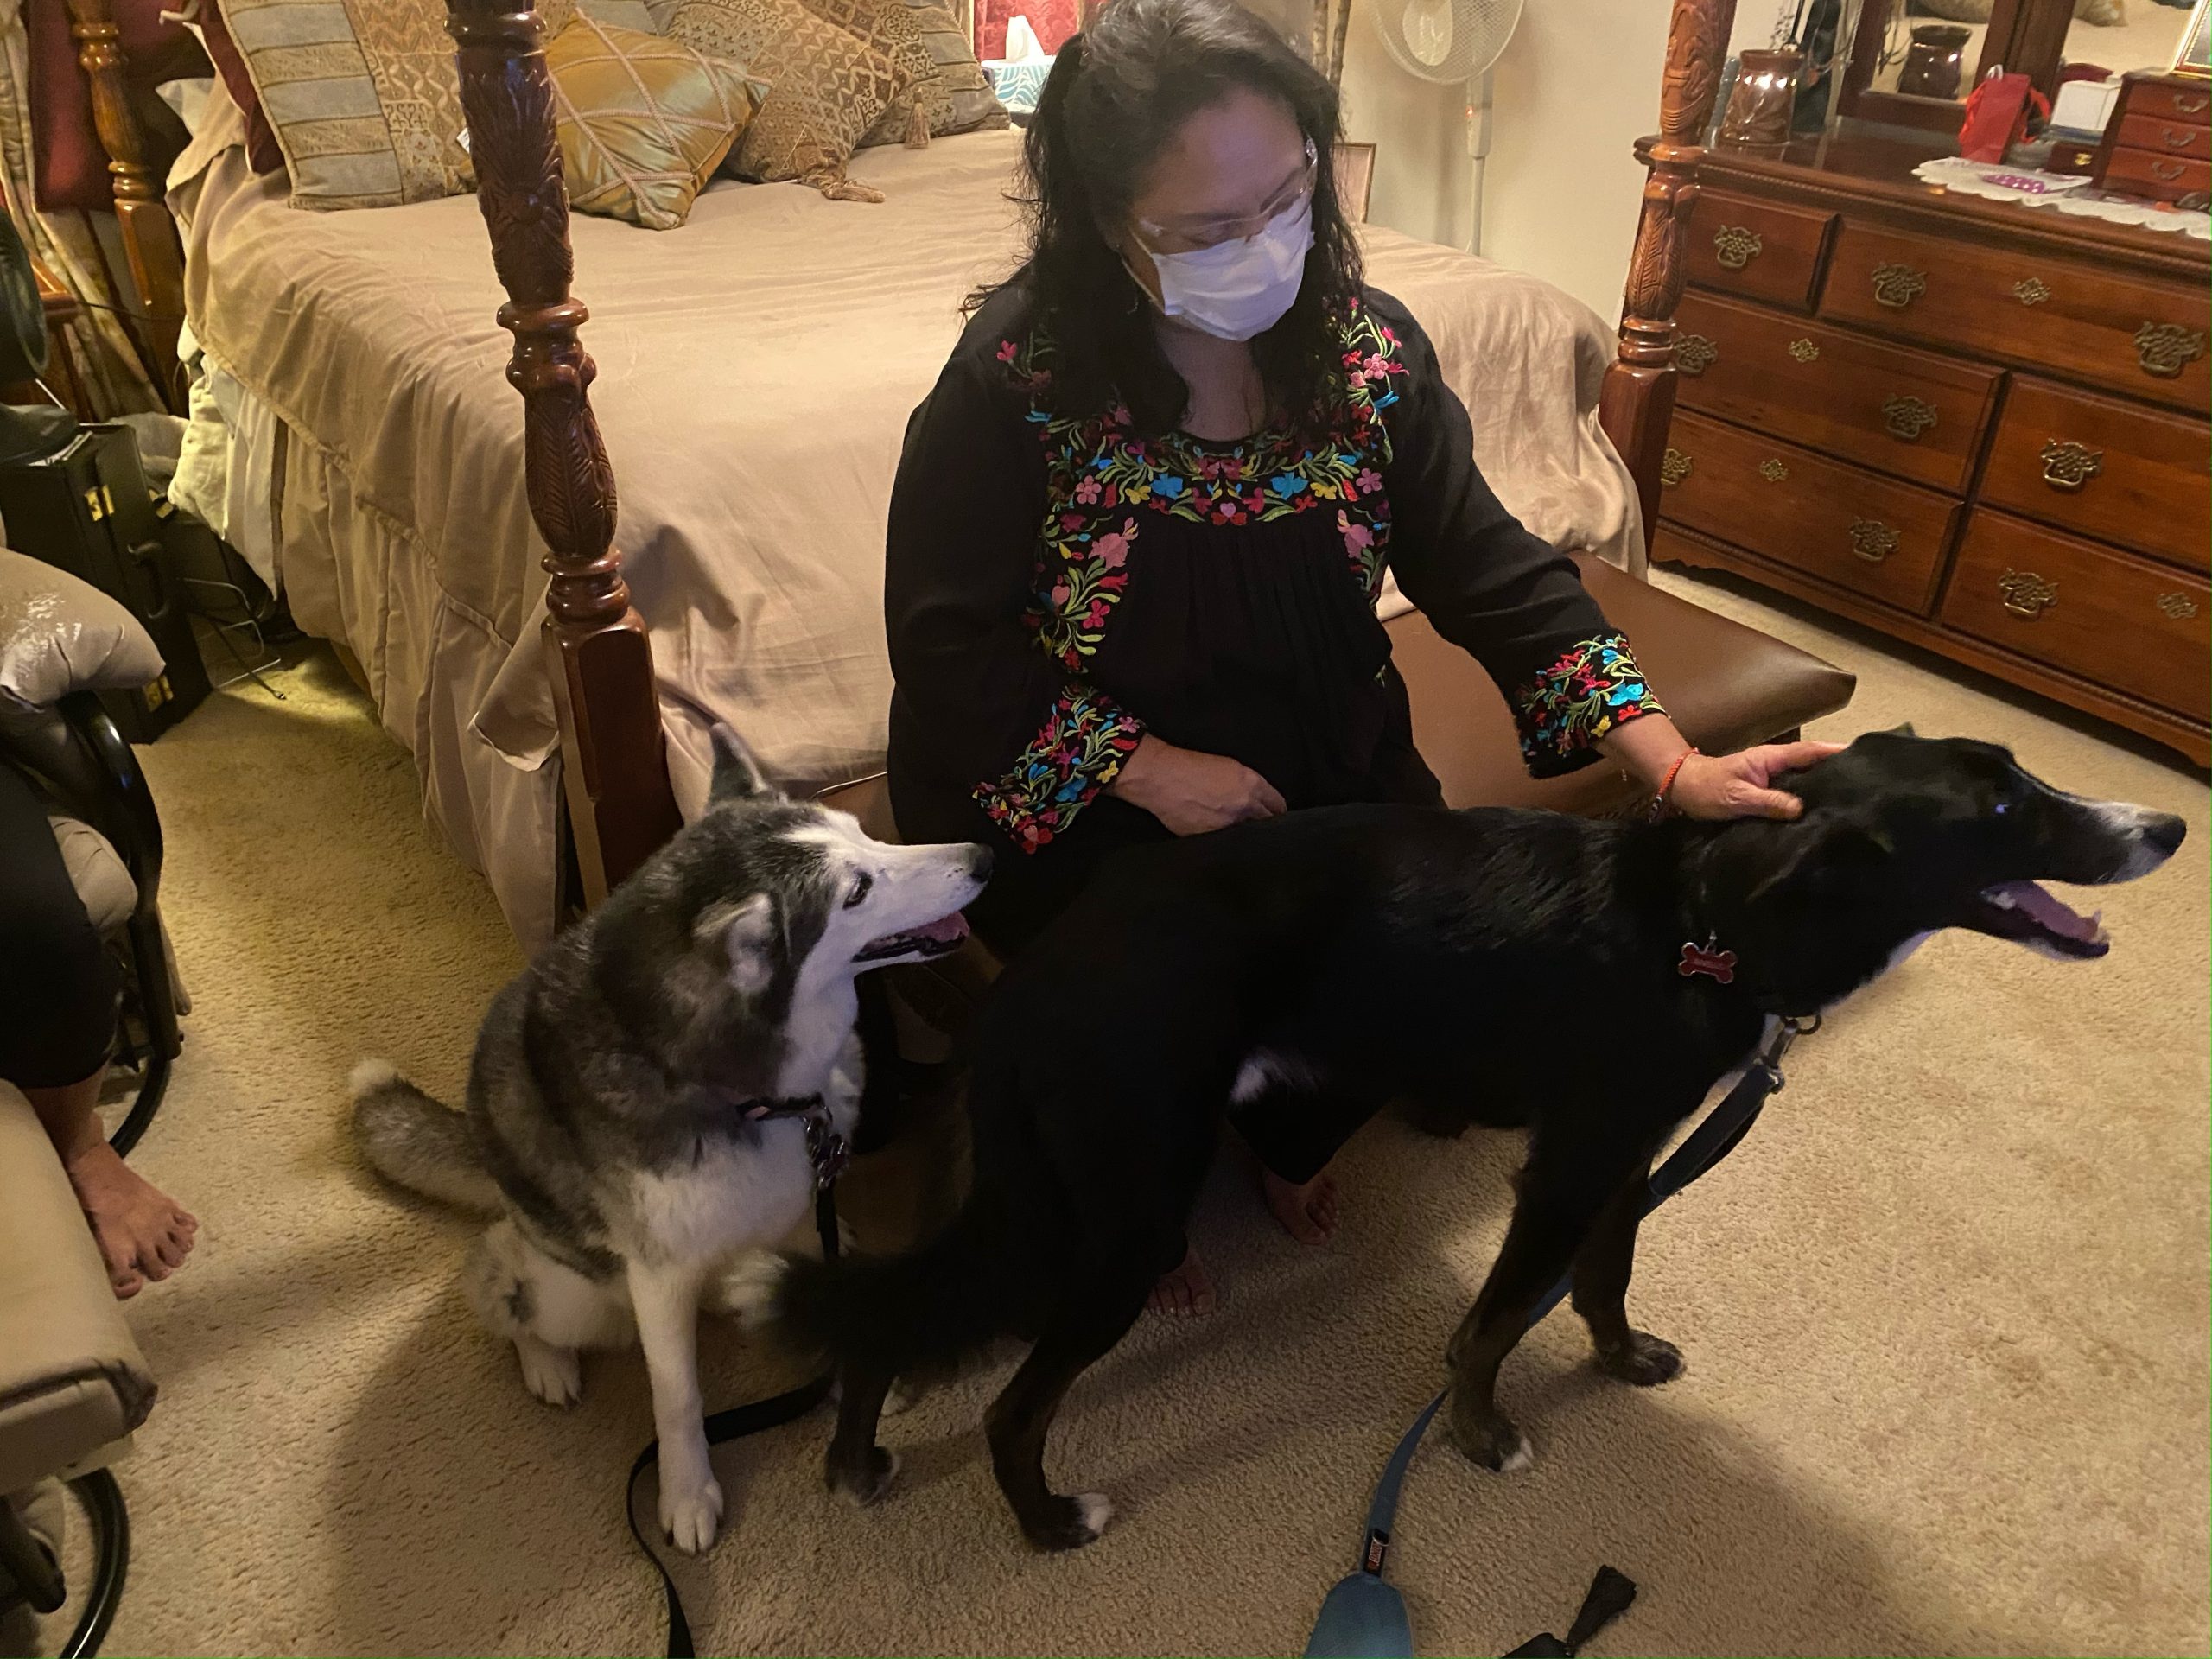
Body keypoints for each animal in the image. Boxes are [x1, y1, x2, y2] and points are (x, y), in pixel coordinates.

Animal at [351, 728, 990, 1554]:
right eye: (856, 891)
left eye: (864, 833)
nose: (983, 857)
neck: (759, 1095)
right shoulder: (657, 1279)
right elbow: (677, 1396)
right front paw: (687, 1492)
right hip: (572, 1290)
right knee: (501, 1277)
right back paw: (545, 1360)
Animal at [749, 730, 2185, 1549]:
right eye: (1995, 814)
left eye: (2026, 777)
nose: (2166, 826)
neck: (1707, 918)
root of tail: (1041, 971)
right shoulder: (1564, 1168)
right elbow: (1491, 1325)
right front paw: (1486, 1437)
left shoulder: (1624, 1149)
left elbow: (1603, 1275)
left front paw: (1618, 1359)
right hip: (1115, 1213)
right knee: (1005, 1400)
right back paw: (1051, 1523)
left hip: (1030, 1193)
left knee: (889, 1316)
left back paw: (857, 1460)